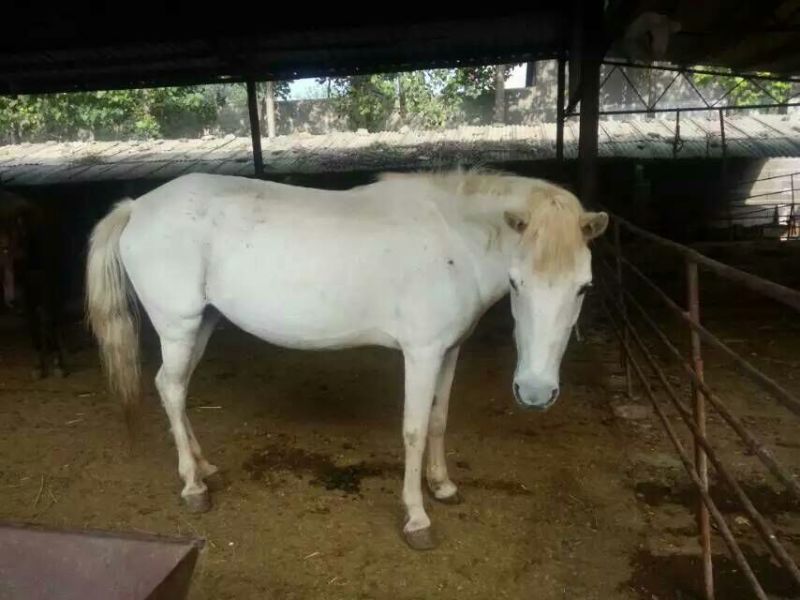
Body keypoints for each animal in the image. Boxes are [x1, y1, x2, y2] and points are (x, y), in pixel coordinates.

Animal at [0, 189, 67, 378]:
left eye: (20, 256)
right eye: (3, 250)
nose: (12, 300)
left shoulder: (45, 281)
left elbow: (47, 318)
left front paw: (58, 363)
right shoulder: (26, 290)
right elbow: (32, 323)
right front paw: (38, 365)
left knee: (53, 315)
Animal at [85, 168, 608, 550]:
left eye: (584, 287)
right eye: (517, 282)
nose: (535, 392)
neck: (452, 241)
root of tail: (136, 207)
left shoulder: (449, 350)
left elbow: (439, 420)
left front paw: (441, 487)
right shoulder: (421, 354)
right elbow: (414, 429)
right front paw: (416, 518)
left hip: (203, 325)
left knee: (174, 388)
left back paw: (205, 467)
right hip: (178, 326)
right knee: (171, 389)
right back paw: (194, 488)